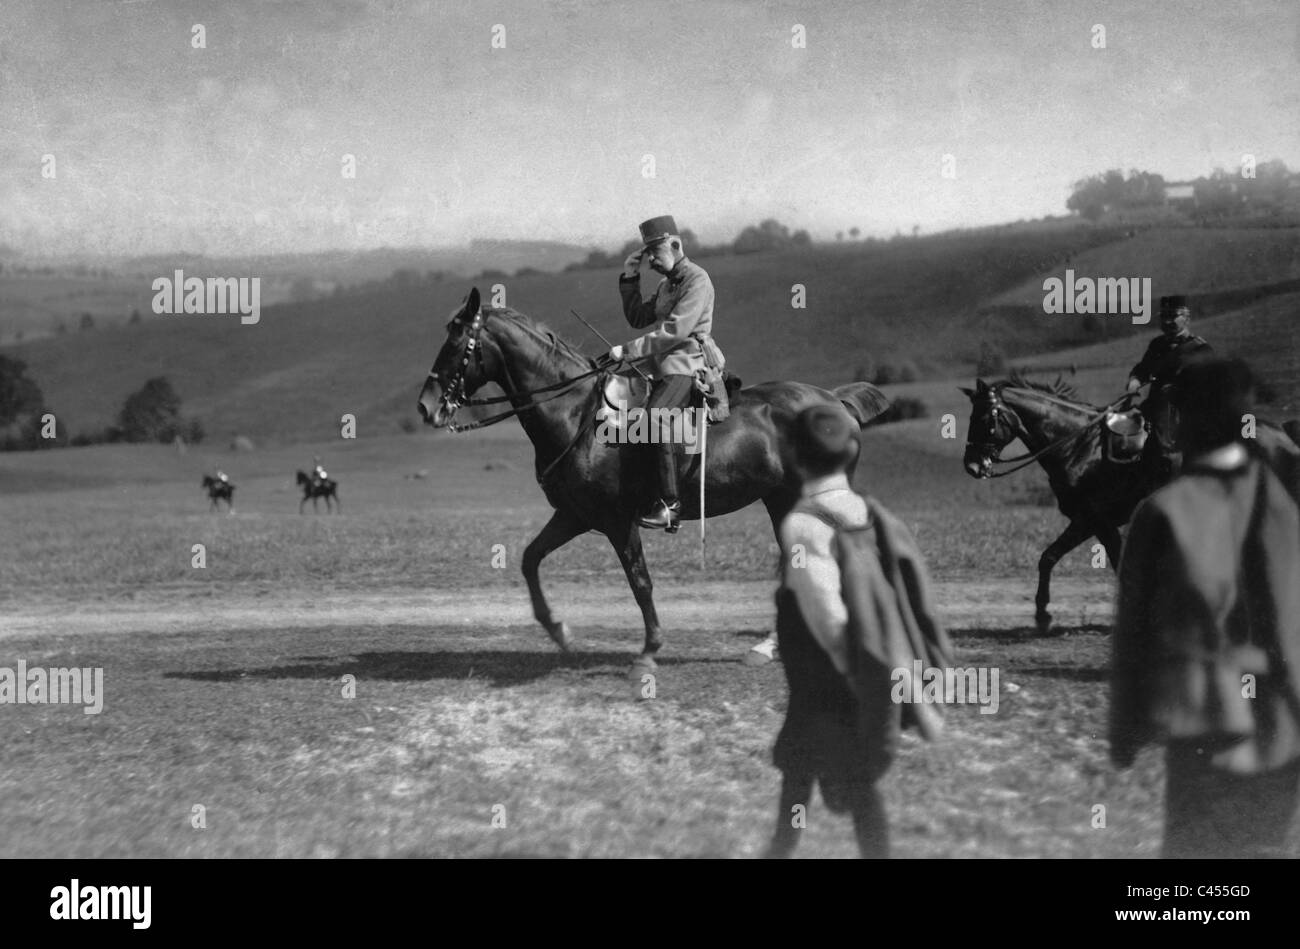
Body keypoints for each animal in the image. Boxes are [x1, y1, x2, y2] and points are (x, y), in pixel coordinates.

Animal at [421, 284, 889, 670]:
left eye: (459, 342)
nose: (428, 406)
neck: (577, 414)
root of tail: (836, 400)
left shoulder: (618, 521)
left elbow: (640, 582)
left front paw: (649, 651)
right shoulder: (575, 516)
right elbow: (530, 559)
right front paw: (560, 631)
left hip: (813, 499)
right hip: (782, 502)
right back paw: (770, 646)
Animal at [961, 374, 1154, 631]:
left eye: (983, 418)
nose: (971, 465)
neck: (1080, 447)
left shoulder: (1092, 520)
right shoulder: (1097, 524)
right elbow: (1050, 558)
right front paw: (1042, 615)